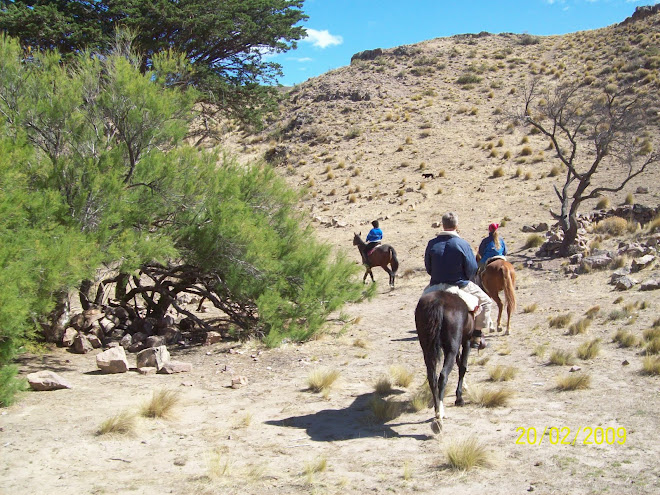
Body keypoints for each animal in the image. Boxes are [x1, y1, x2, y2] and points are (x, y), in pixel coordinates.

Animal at [412, 290, 474, 434]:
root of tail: (438, 302)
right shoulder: (466, 341)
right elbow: (463, 366)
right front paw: (459, 398)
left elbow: (459, 363)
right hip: (452, 347)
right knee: (443, 375)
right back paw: (440, 415)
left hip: (427, 348)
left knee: (432, 377)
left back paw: (437, 410)